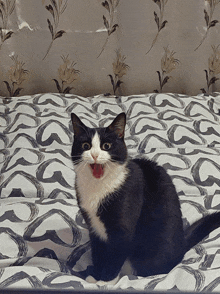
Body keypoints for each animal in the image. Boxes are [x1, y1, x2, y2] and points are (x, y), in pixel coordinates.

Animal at [70, 112, 220, 284]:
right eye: (85, 146)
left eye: (106, 146)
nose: (94, 155)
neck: (98, 187)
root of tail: (182, 245)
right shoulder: (93, 227)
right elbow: (98, 253)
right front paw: (95, 276)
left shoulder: (123, 229)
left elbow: (114, 256)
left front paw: (106, 280)